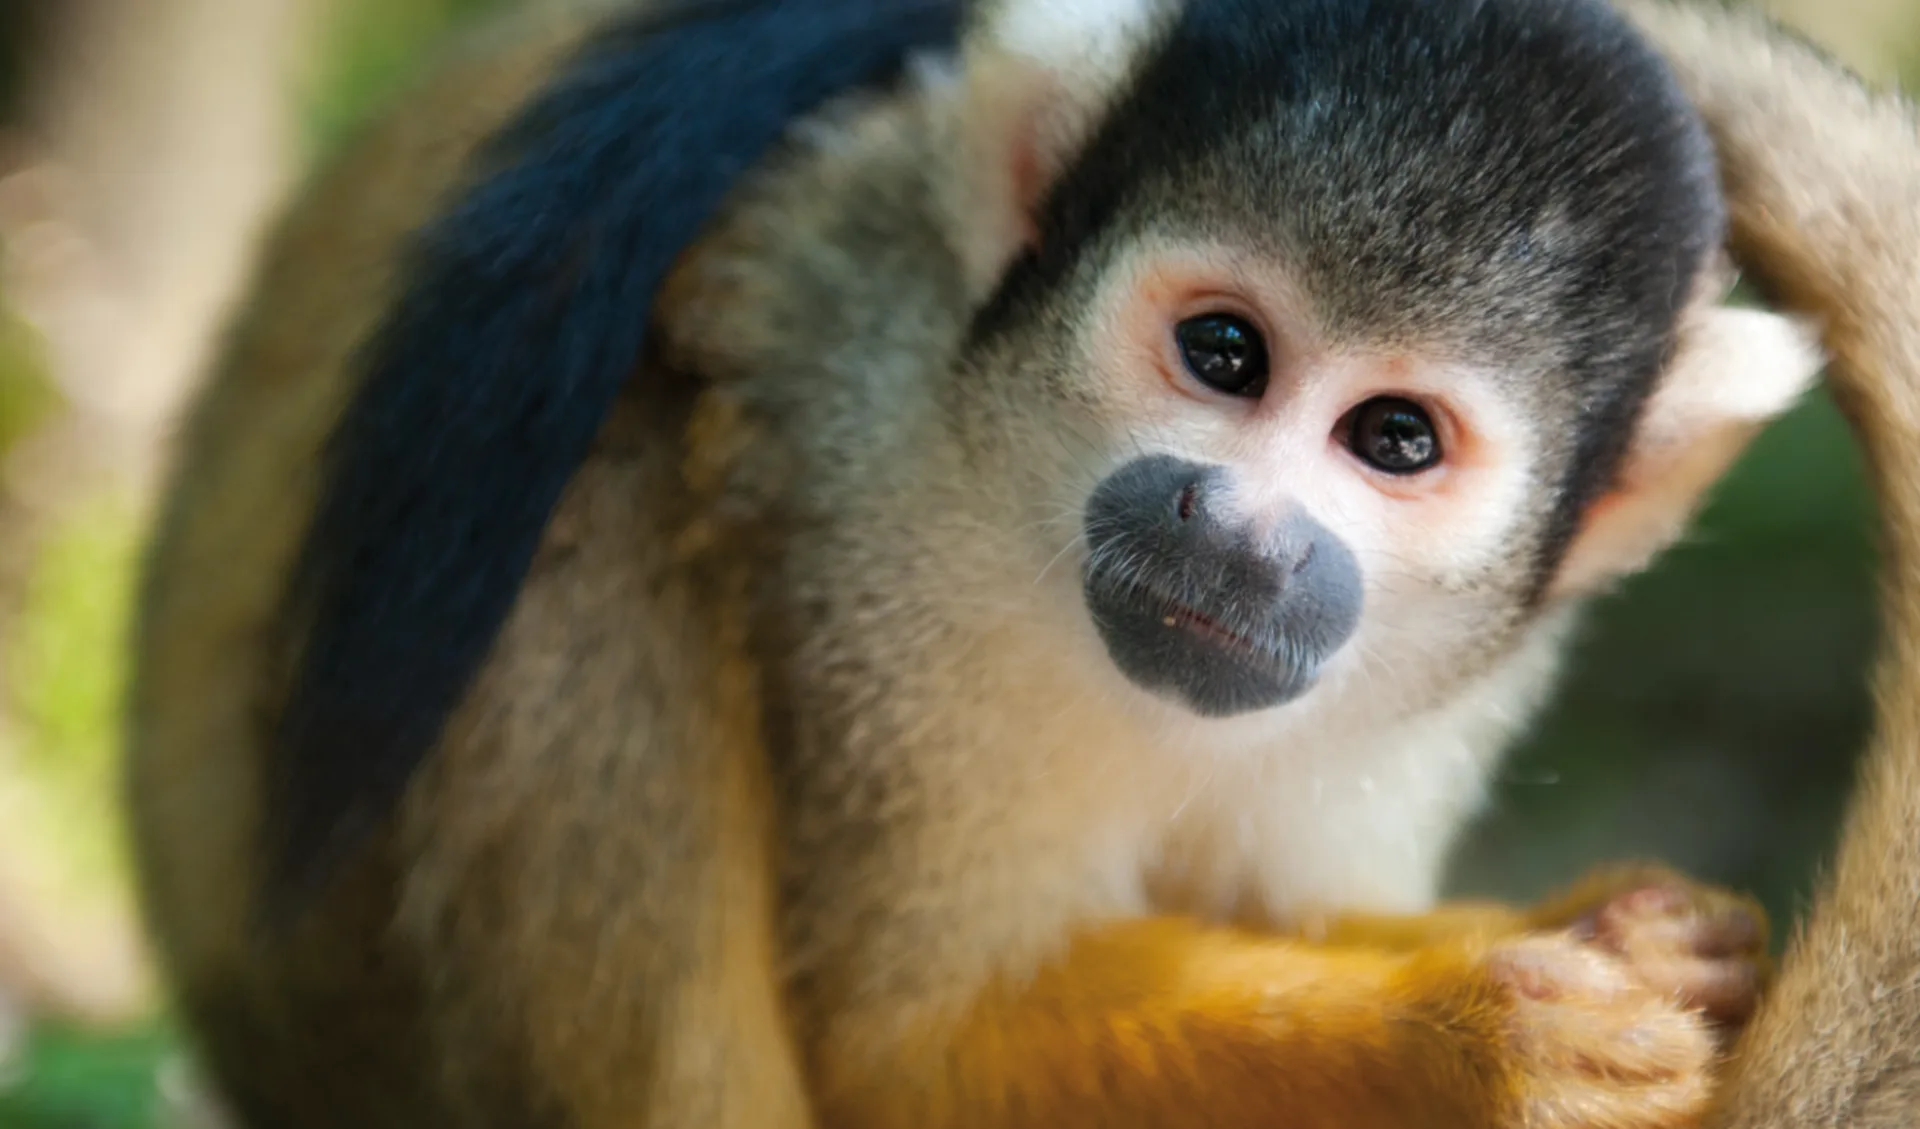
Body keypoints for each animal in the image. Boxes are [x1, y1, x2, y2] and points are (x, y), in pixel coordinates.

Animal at [122, 0, 1827, 1126]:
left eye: (1395, 439)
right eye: (1226, 352)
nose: (1243, 533)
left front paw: (1620, 932)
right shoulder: (879, 494)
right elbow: (916, 1040)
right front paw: (1478, 1034)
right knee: (593, 498)